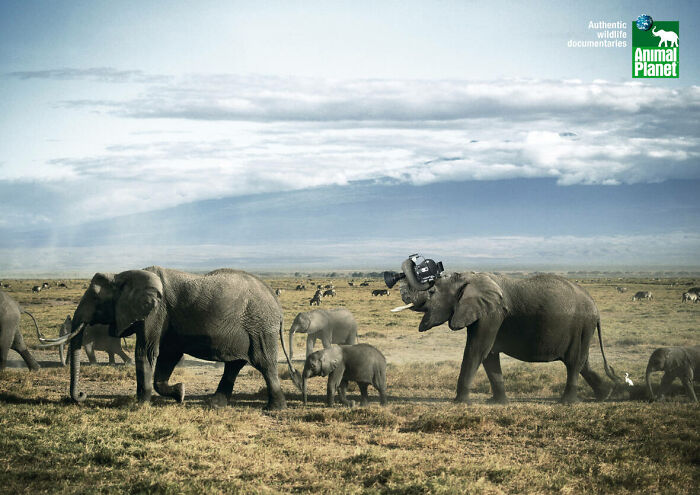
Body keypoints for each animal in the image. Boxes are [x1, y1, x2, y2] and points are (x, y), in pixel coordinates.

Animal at [66, 266, 297, 409]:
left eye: (95, 297)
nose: (82, 396)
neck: (122, 275)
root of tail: (276, 303)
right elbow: (167, 356)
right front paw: (180, 394)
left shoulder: (156, 312)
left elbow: (146, 352)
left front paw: (140, 405)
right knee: (235, 365)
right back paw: (215, 405)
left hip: (259, 327)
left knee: (263, 362)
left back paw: (274, 409)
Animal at [389, 257, 620, 404]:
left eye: (432, 292)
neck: (469, 277)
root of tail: (595, 309)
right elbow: (489, 354)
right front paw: (497, 403)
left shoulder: (492, 313)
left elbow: (477, 349)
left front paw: (460, 403)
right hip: (582, 330)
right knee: (582, 362)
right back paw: (606, 395)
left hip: (581, 325)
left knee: (573, 362)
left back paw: (567, 403)